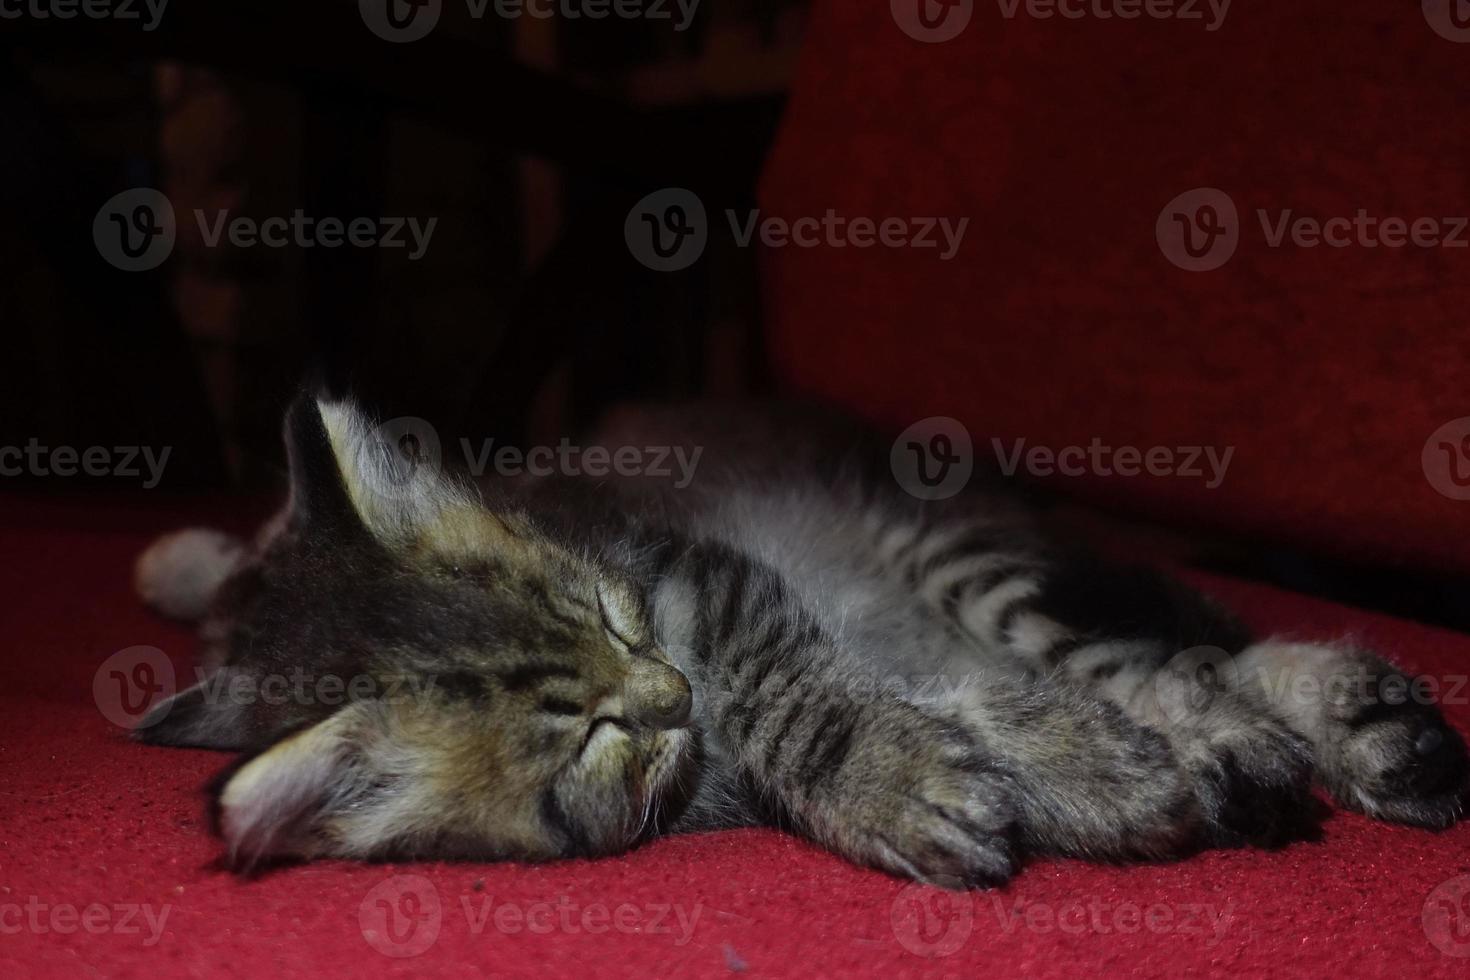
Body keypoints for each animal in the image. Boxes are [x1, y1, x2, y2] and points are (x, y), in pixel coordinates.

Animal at [132, 393, 1464, 887]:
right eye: (587, 735)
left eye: (609, 608)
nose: (671, 693)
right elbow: (954, 702)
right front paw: (1062, 769)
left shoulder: (713, 578)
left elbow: (803, 698)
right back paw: (1355, 734)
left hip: (969, 558)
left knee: (1168, 650)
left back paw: (1322, 727)